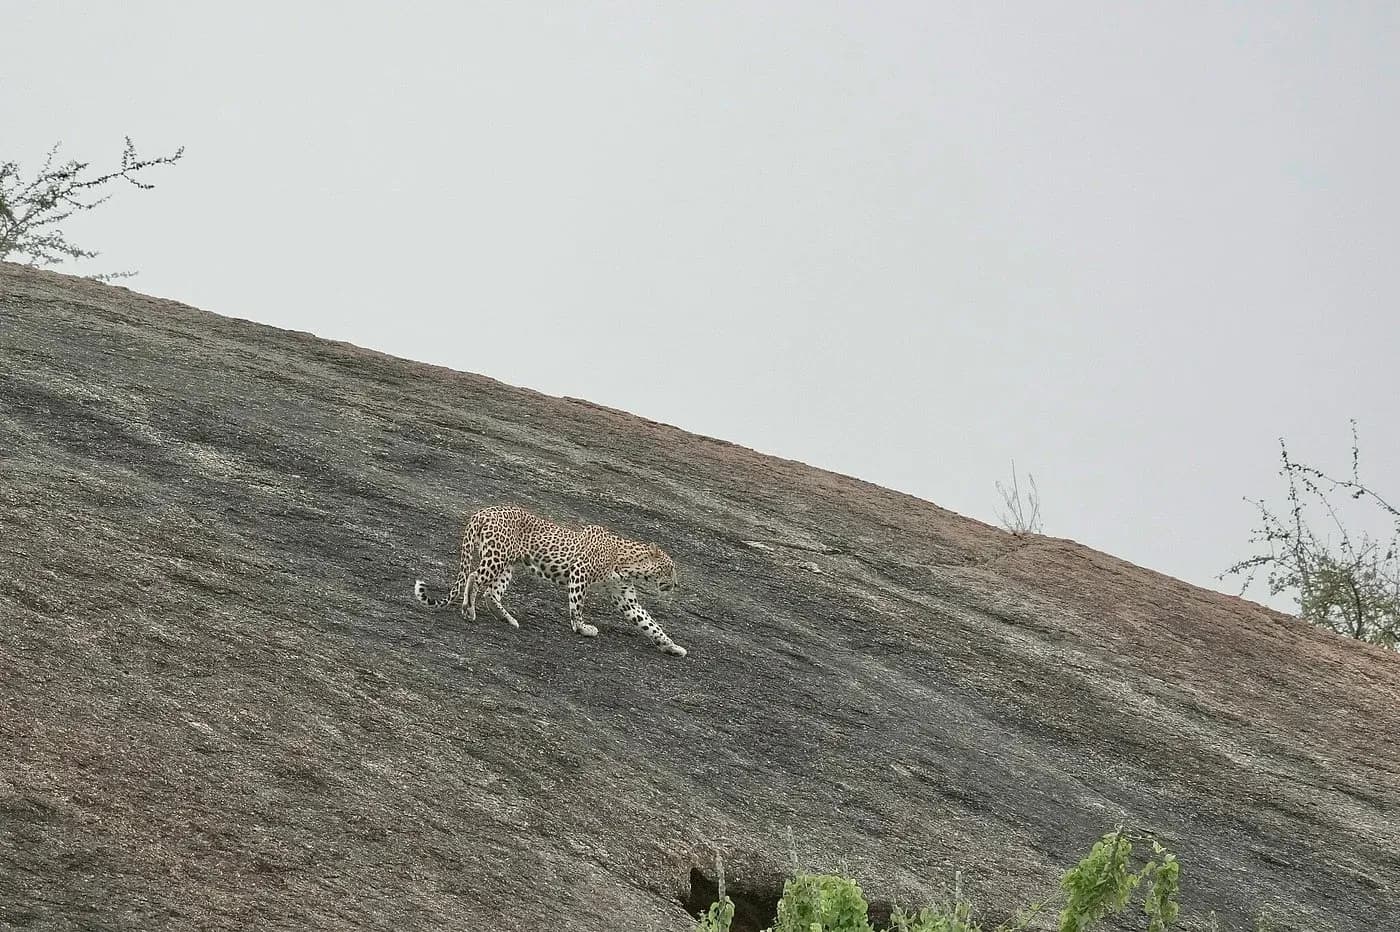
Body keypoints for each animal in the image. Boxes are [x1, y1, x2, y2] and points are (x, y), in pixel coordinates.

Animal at [412, 504, 687, 657]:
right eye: (670, 568)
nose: (675, 584)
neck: (627, 562)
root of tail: (481, 512)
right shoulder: (580, 573)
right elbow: (577, 606)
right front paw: (582, 628)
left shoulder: (624, 597)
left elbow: (649, 623)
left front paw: (672, 646)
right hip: (496, 557)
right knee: (473, 576)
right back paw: (468, 609)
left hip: (507, 565)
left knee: (491, 592)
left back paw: (507, 618)